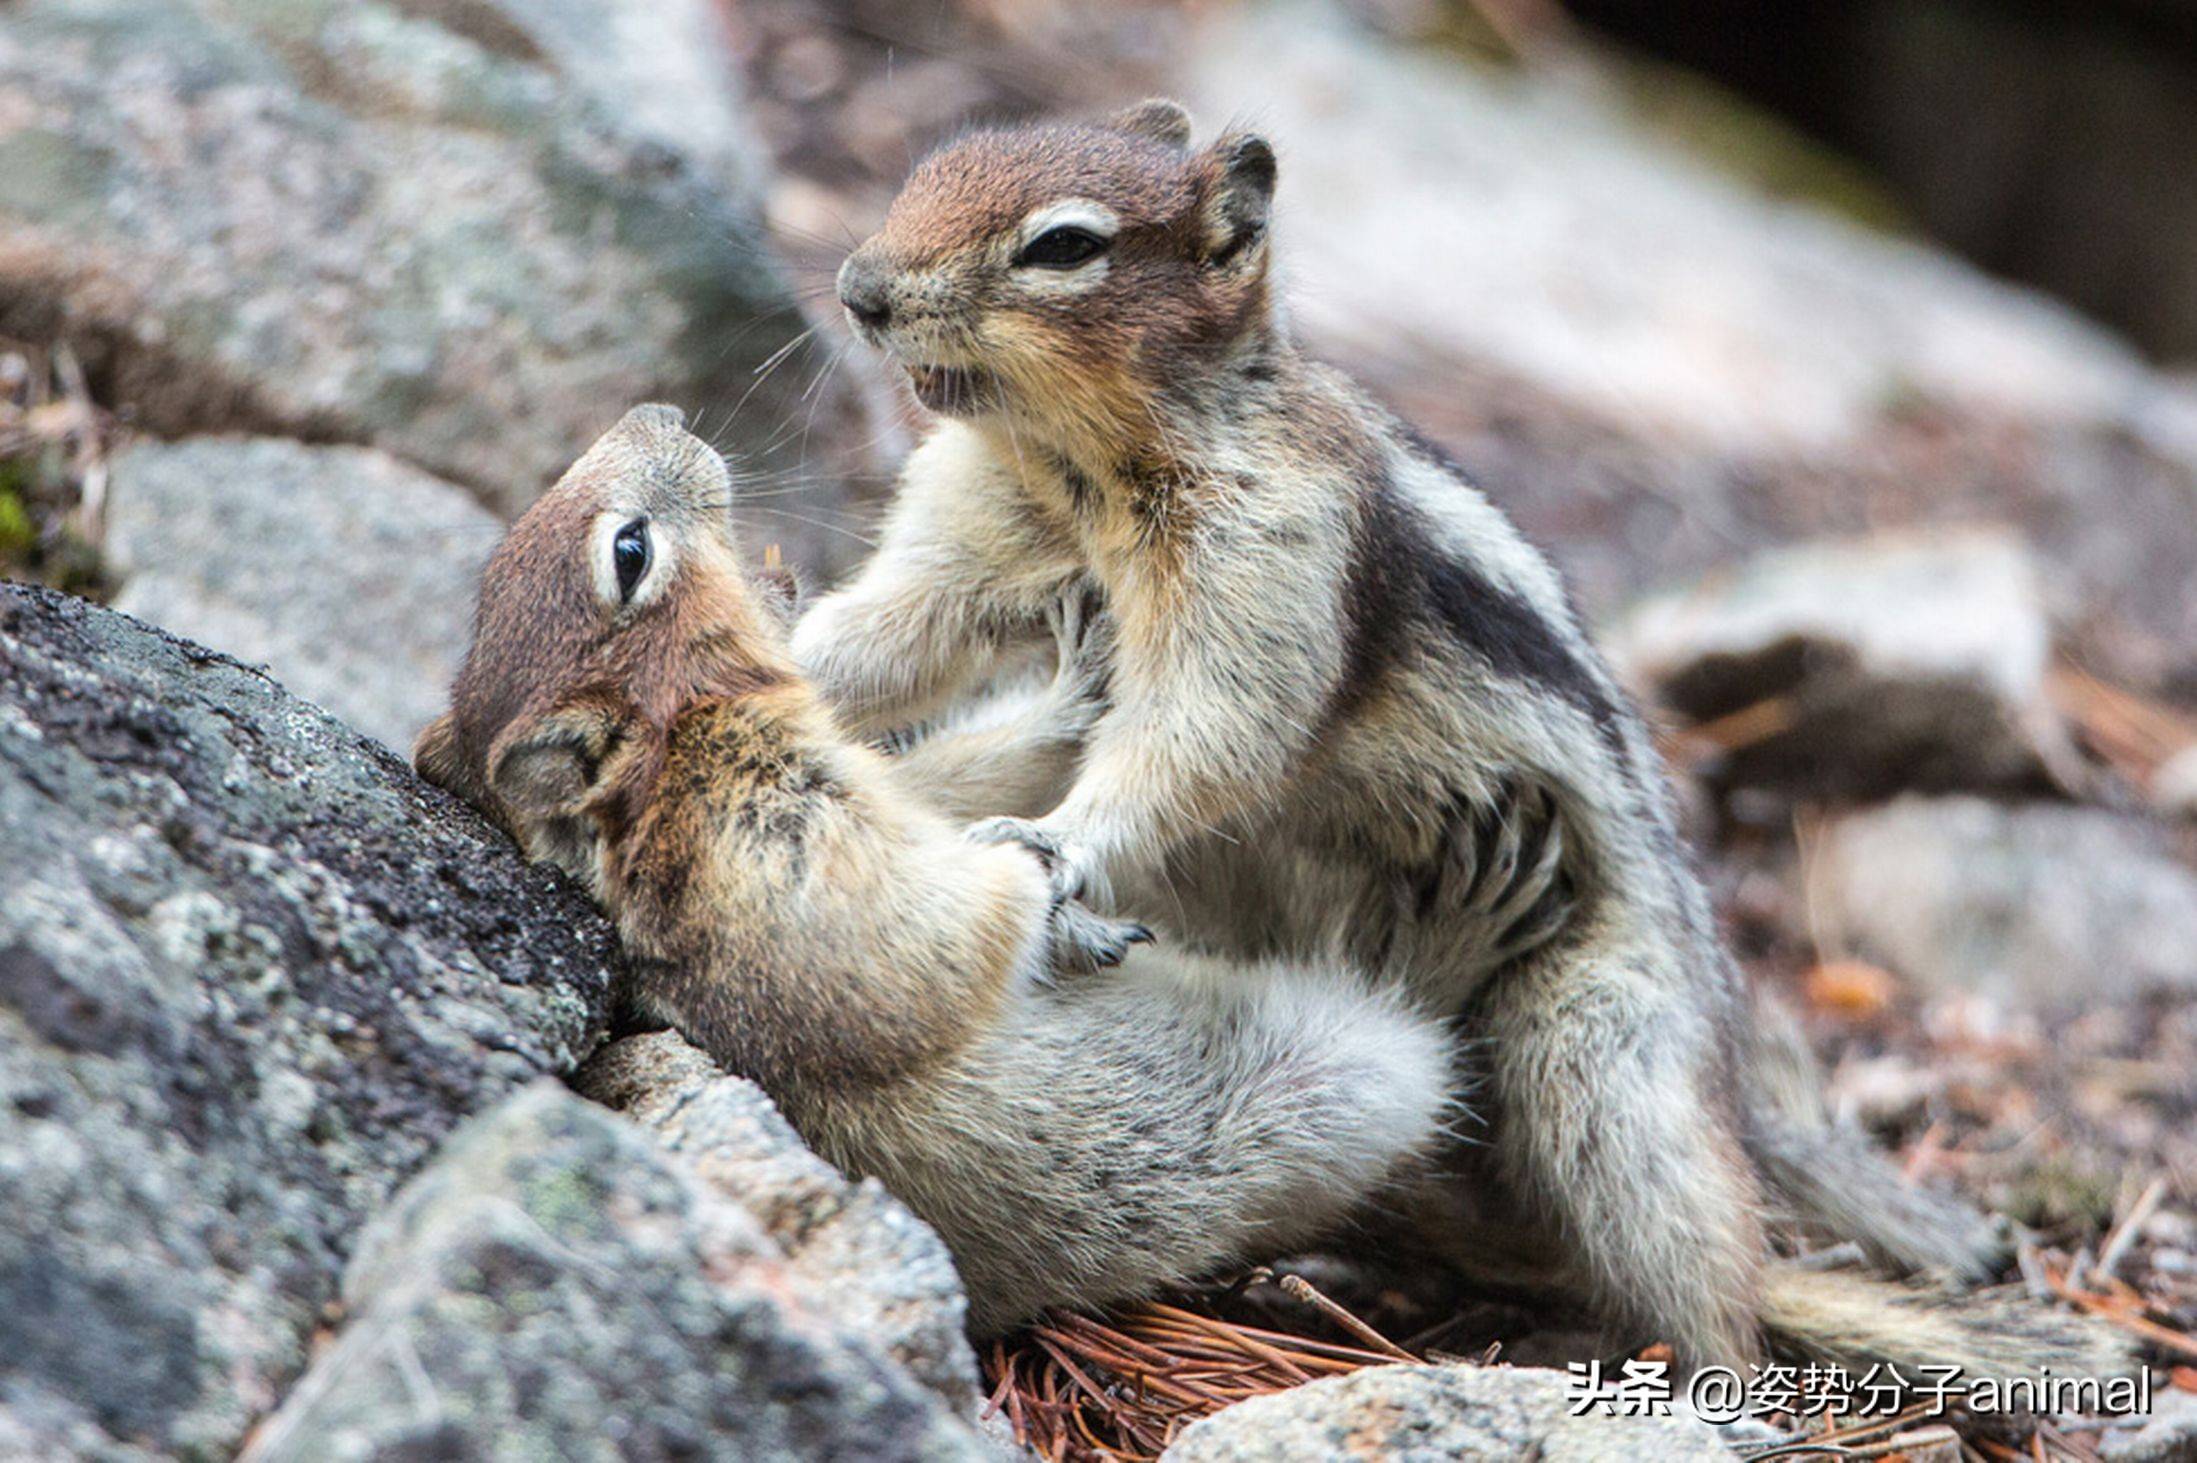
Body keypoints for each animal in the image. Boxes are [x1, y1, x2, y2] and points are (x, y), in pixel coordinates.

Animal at [413, 404, 1458, 1326]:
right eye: (628, 553)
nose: (661, 410)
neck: (684, 741)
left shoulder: (878, 779)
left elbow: (945, 784)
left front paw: (1080, 681)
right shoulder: (778, 836)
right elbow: (950, 933)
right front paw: (1048, 887)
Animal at [795, 96, 2144, 1370]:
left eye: (1064, 246)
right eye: (927, 170)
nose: (858, 288)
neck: (1076, 462)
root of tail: (1725, 1044)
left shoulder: (1272, 564)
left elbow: (1205, 733)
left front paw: (1055, 840)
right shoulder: (969, 526)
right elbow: (880, 631)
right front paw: (773, 654)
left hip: (1600, 1047)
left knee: (1702, 1263)